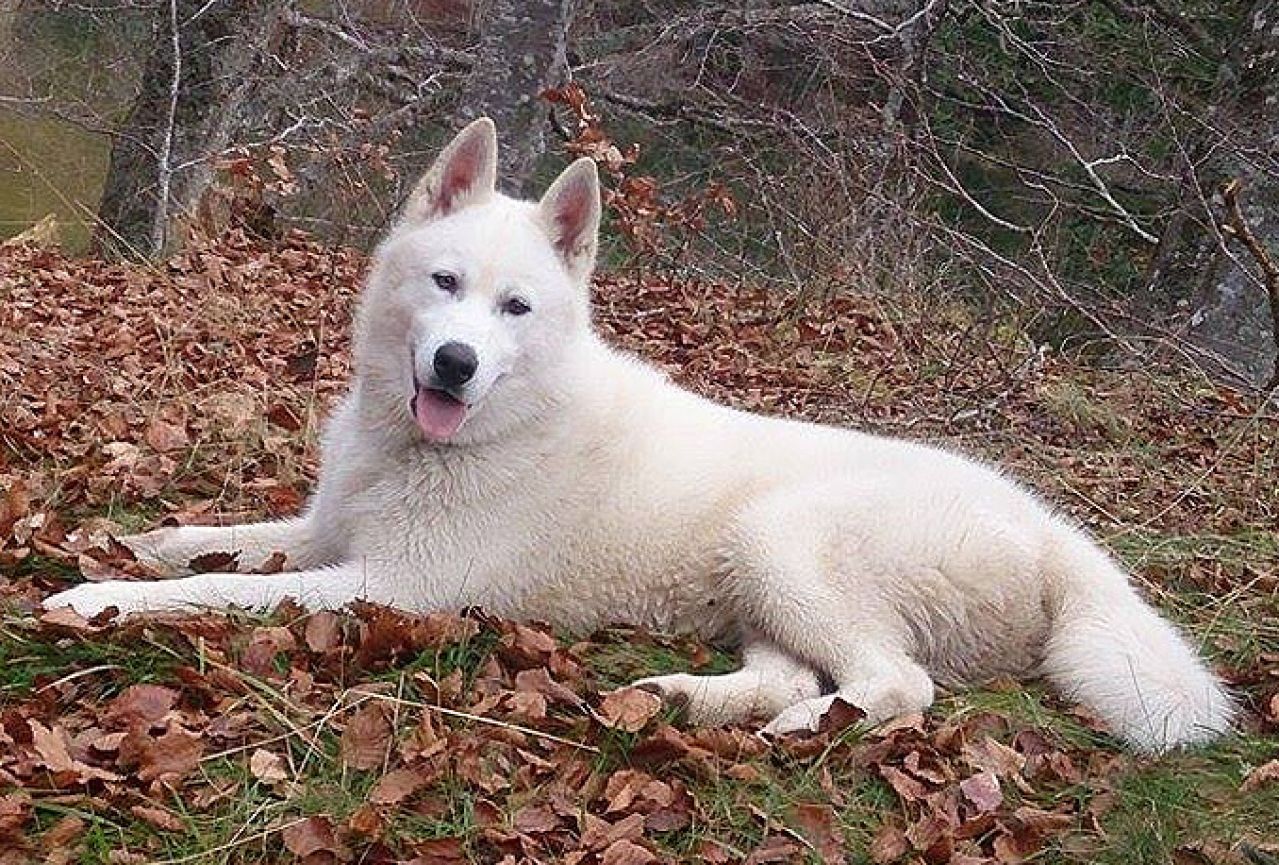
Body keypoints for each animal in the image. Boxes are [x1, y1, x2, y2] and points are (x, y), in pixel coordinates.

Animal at [45, 119, 1232, 752]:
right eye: (445, 285)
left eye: (516, 308)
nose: (455, 364)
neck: (468, 432)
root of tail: (1052, 531)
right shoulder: (329, 533)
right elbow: (214, 538)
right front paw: (130, 540)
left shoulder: (386, 584)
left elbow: (216, 590)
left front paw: (97, 599)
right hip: (757, 583)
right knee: (799, 673)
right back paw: (681, 700)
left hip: (784, 543)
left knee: (901, 685)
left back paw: (803, 731)